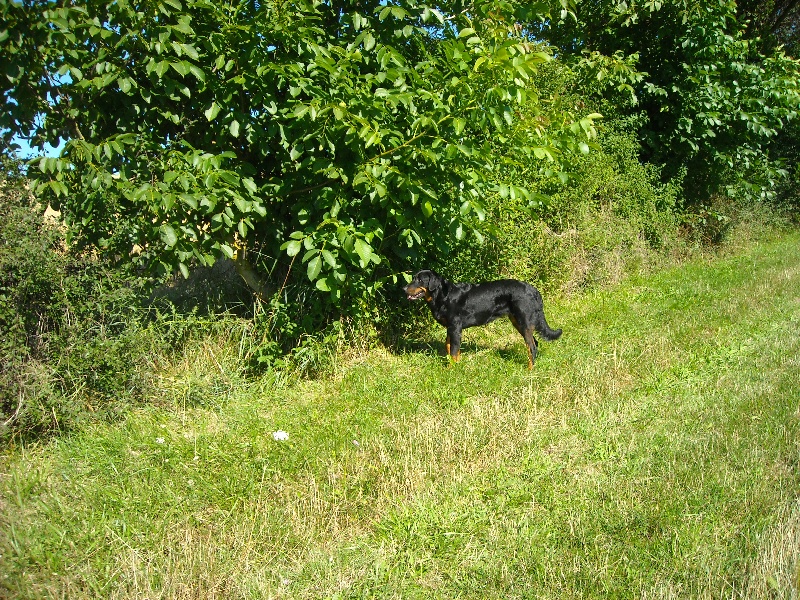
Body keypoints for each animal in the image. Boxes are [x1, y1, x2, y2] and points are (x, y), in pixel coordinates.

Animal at [404, 270, 560, 366]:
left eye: (420, 280)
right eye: (413, 278)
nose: (404, 289)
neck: (443, 296)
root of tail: (534, 290)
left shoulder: (455, 328)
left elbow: (454, 350)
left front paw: (452, 369)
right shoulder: (450, 328)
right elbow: (449, 347)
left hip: (524, 321)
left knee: (532, 347)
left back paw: (529, 370)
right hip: (518, 321)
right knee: (534, 344)